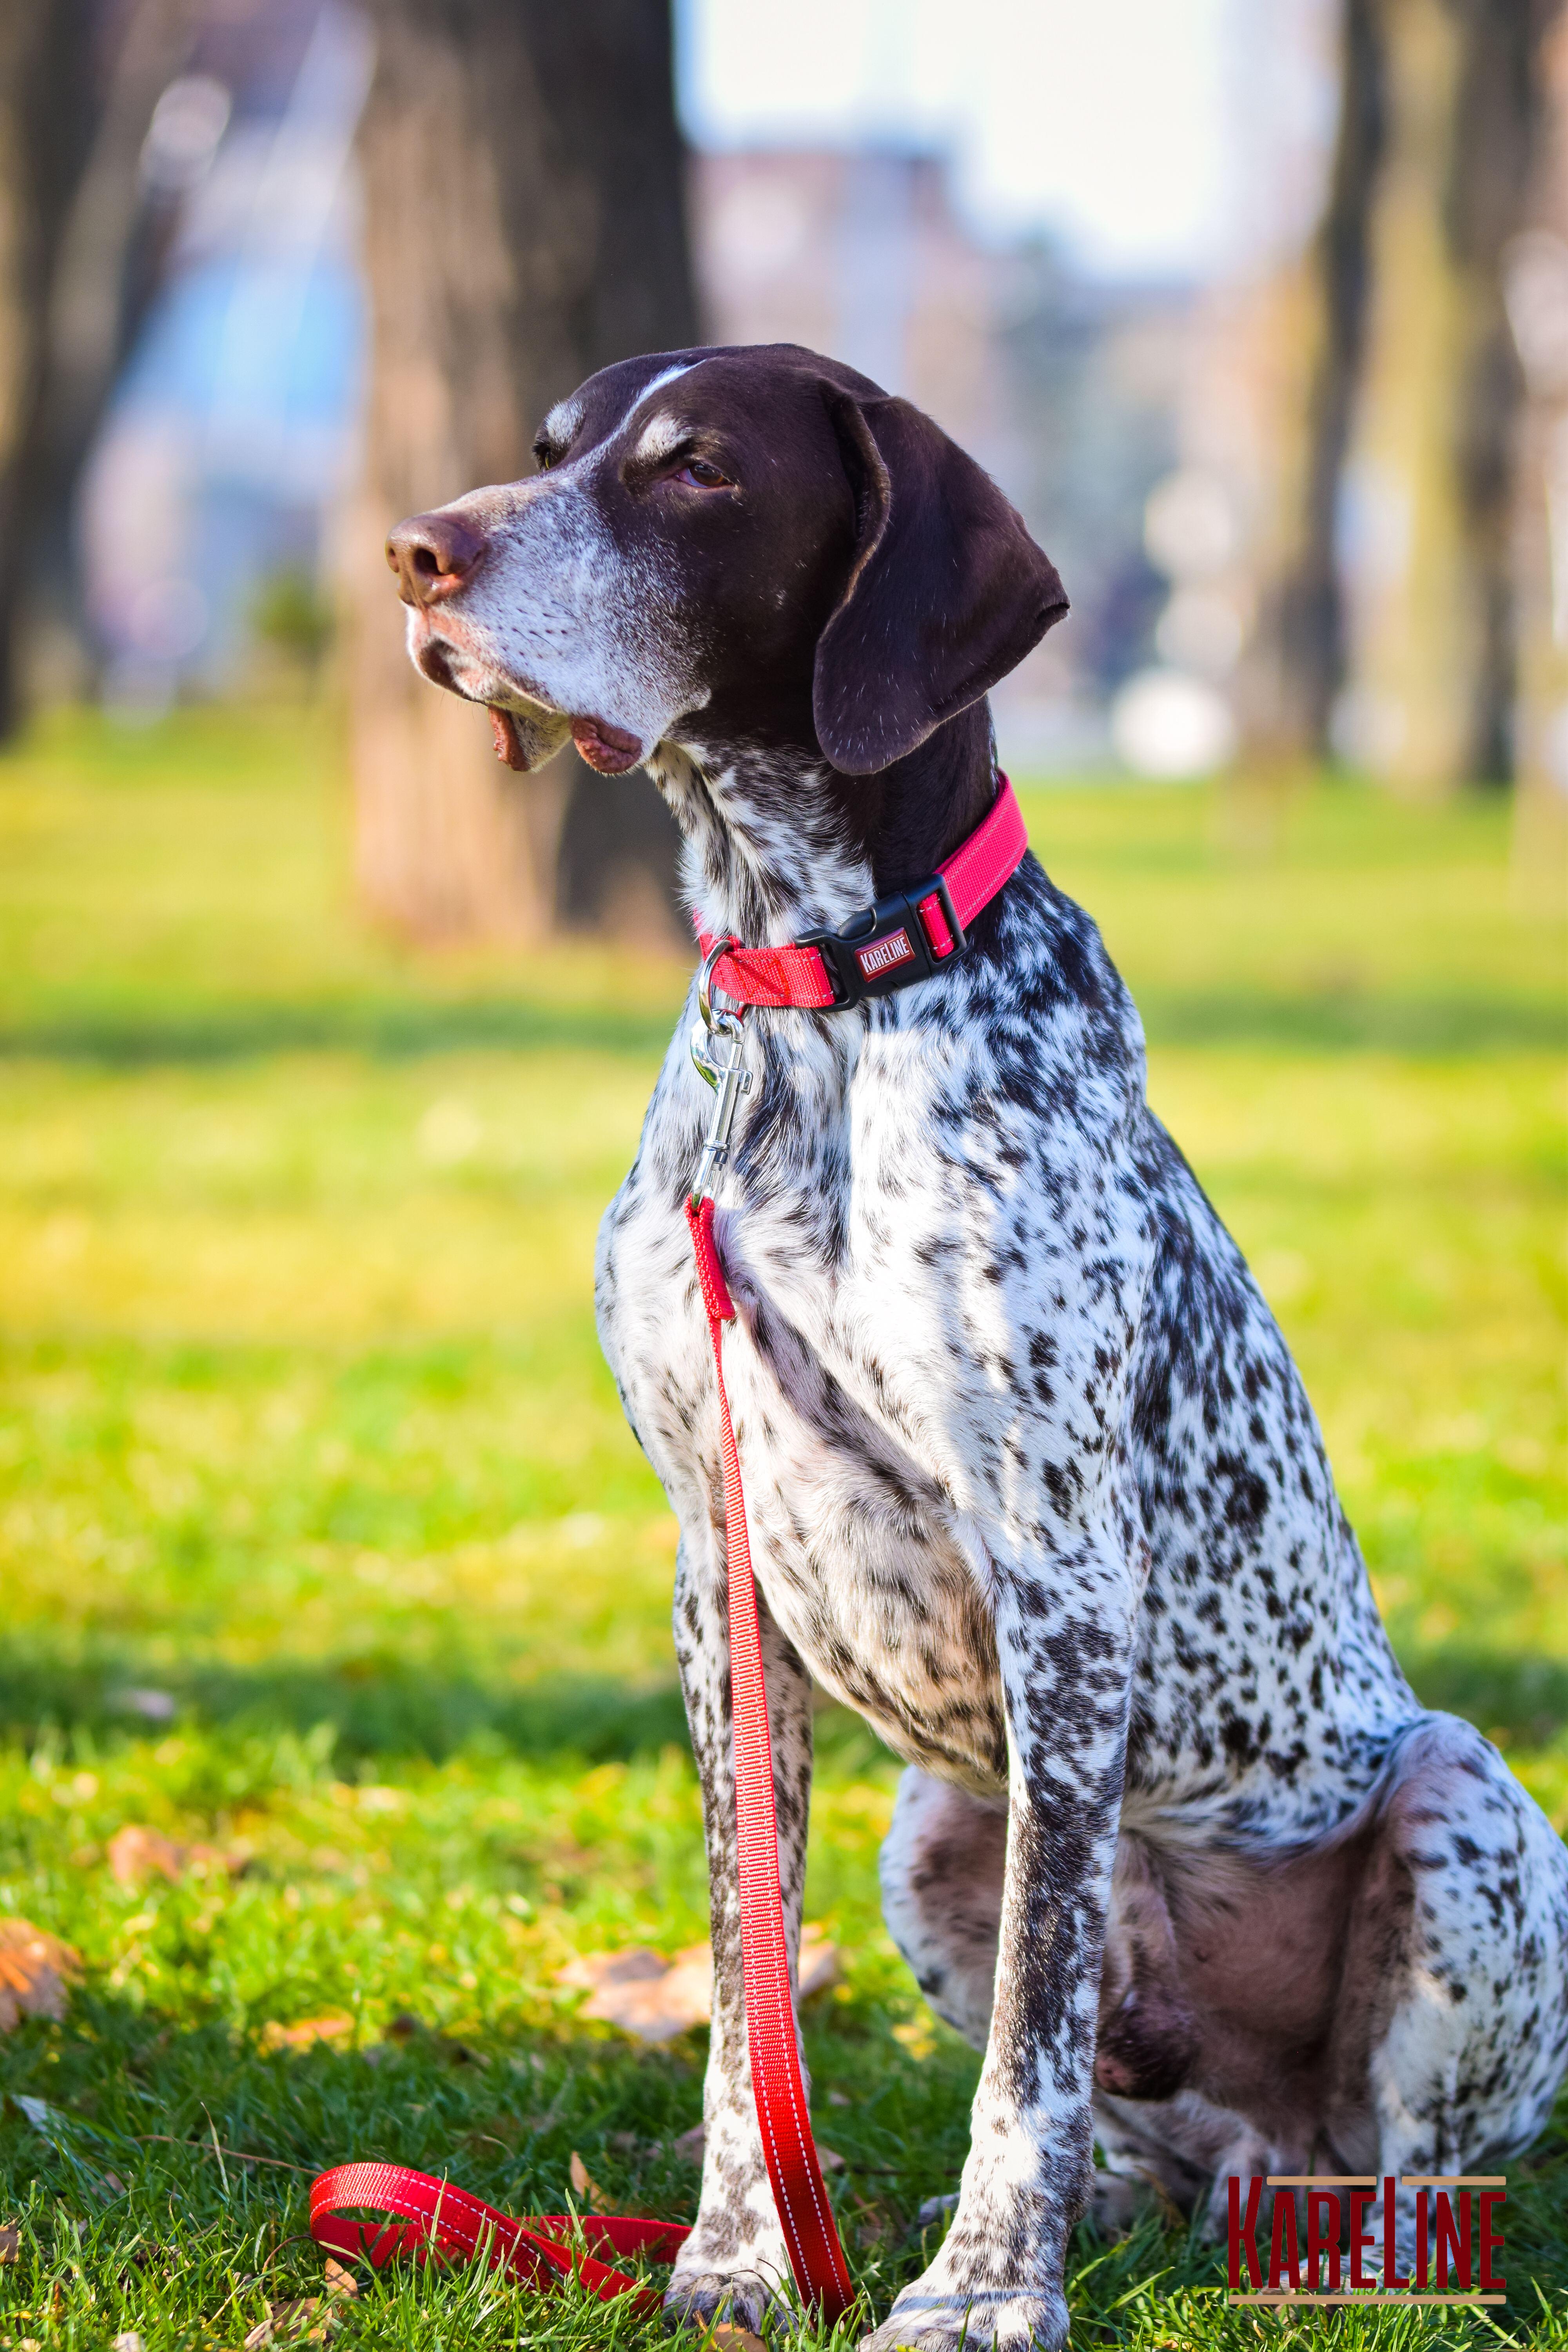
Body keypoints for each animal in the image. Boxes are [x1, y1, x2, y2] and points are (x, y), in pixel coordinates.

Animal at [390, 343, 1568, 2352]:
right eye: (545, 449)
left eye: (696, 470)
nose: (412, 552)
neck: (813, 998)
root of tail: (1262, 2164)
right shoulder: (719, 1576)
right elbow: (745, 2001)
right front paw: (740, 2256)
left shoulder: (1059, 1582)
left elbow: (1032, 2025)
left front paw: (982, 2296)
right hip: (938, 1822)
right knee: (1157, 2133)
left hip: (1455, 1800)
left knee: (1398, 2169)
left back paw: (1339, 2259)